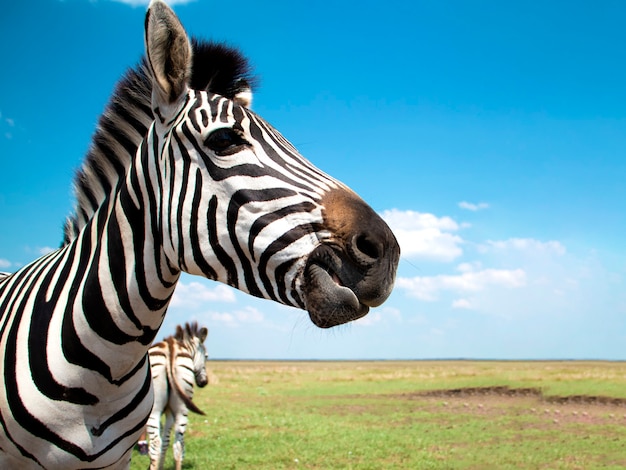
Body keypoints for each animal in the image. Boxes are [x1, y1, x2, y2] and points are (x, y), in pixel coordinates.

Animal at [146, 324, 207, 470]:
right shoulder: (170, 412)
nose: (204, 382)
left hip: (154, 410)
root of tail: (171, 348)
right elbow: (166, 441)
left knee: (156, 443)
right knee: (178, 444)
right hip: (181, 409)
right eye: (207, 356)